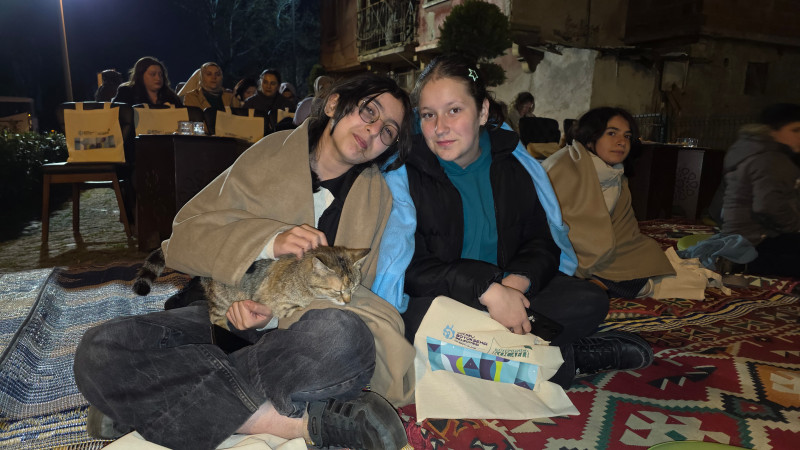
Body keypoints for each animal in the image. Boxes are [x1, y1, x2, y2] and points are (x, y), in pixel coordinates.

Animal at [133, 246, 370, 330]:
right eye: (338, 291)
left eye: (354, 288)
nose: (348, 301)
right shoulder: (274, 303)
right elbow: (291, 308)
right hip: (221, 301)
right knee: (215, 318)